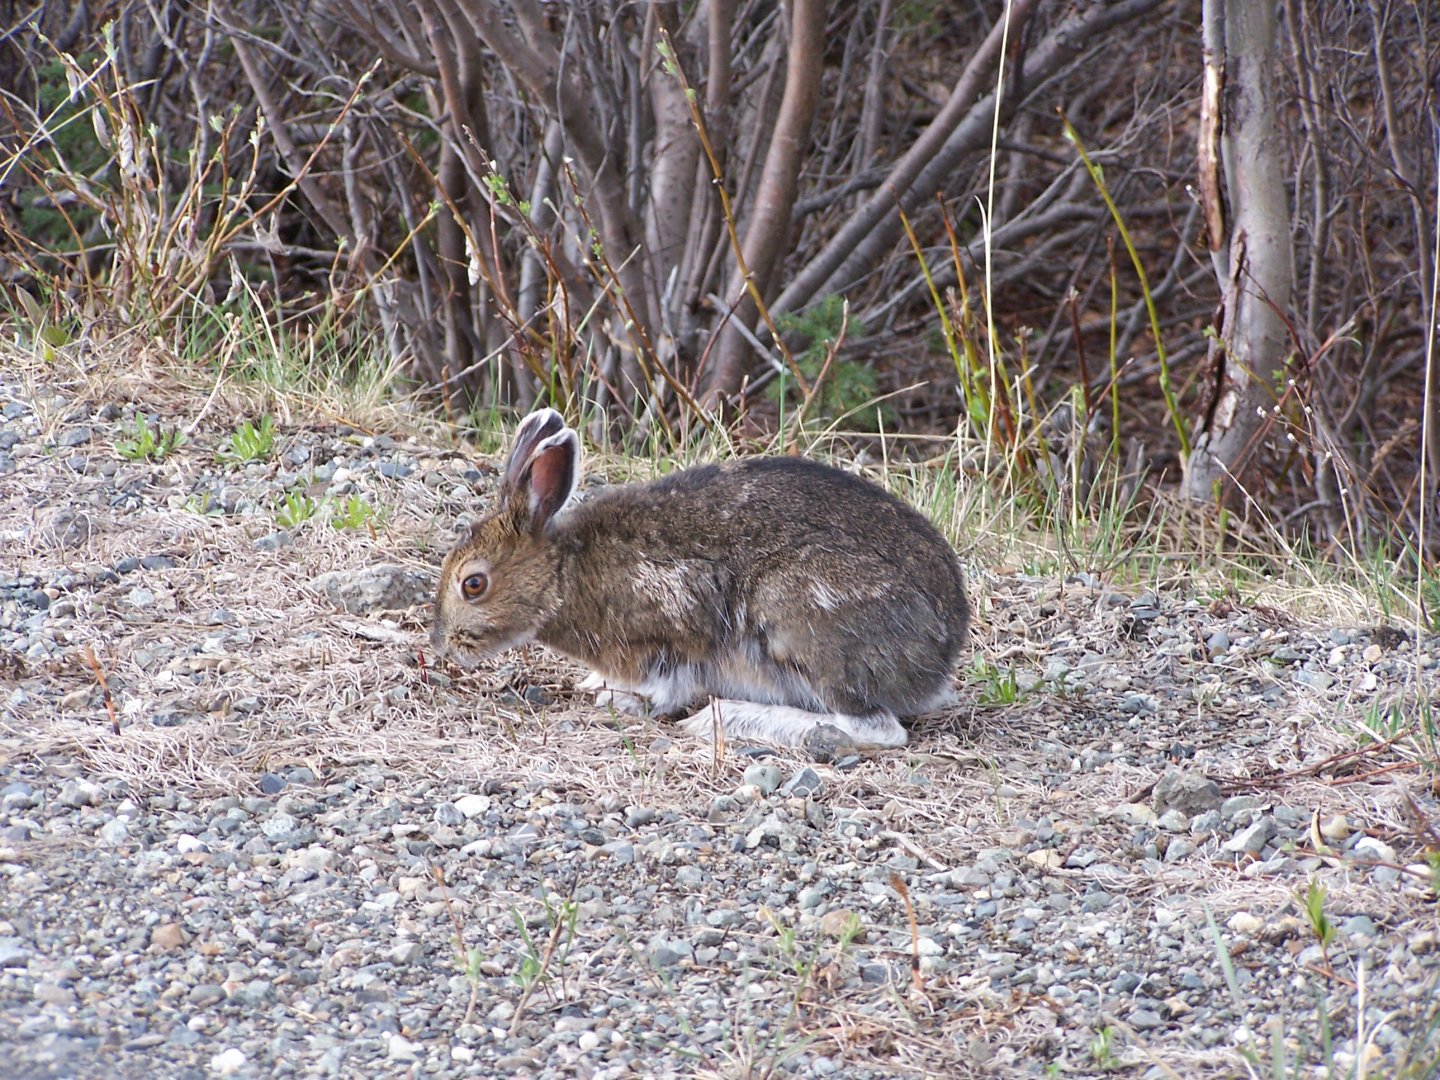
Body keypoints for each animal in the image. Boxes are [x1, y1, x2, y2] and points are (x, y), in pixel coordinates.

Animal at [431, 408, 970, 750]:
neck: (563, 573)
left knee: (876, 729)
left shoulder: (672, 624)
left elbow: (669, 683)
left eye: (472, 584)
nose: (443, 645)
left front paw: (624, 701)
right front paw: (598, 683)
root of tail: (938, 656)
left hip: (801, 618)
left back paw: (727, 718)